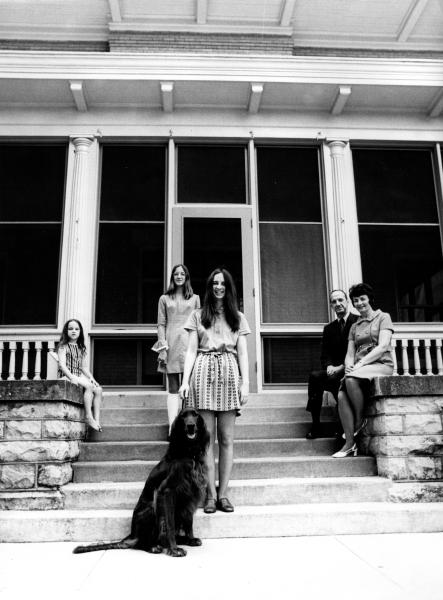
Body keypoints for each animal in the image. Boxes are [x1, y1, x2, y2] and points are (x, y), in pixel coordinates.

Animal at [73, 408, 210, 556]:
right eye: (183, 416)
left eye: (195, 415)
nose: (190, 425)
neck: (189, 453)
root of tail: (132, 535)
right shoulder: (166, 492)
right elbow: (169, 525)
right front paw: (174, 549)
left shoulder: (193, 492)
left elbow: (189, 521)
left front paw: (190, 539)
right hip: (151, 508)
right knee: (141, 543)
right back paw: (153, 546)